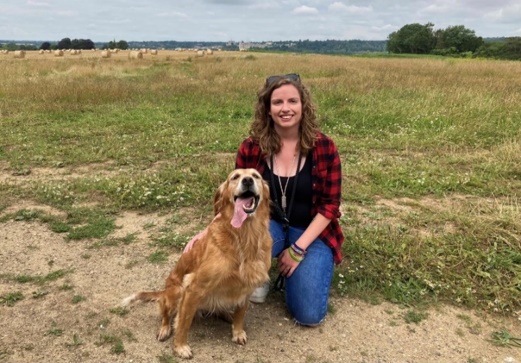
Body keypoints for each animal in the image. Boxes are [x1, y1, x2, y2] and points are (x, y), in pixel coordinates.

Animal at [120, 169, 270, 360]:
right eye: (235, 177)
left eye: (256, 175)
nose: (248, 180)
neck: (244, 236)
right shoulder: (193, 287)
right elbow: (183, 323)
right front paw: (180, 346)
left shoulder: (247, 286)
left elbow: (241, 313)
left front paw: (237, 331)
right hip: (175, 292)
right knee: (166, 314)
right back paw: (164, 329)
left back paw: (228, 315)